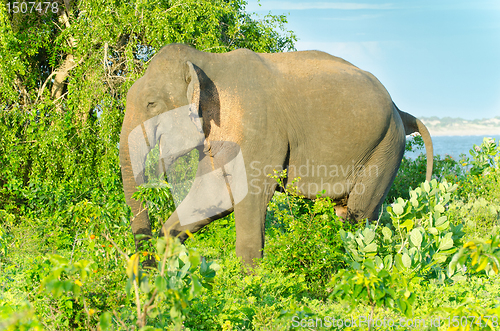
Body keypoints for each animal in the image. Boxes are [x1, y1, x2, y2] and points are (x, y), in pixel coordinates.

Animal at [119, 43, 432, 268]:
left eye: (151, 104)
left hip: (385, 146)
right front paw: (167, 247)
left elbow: (250, 193)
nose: (146, 269)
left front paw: (250, 283)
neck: (208, 62)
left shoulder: (260, 127)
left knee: (358, 217)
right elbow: (212, 195)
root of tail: (400, 111)